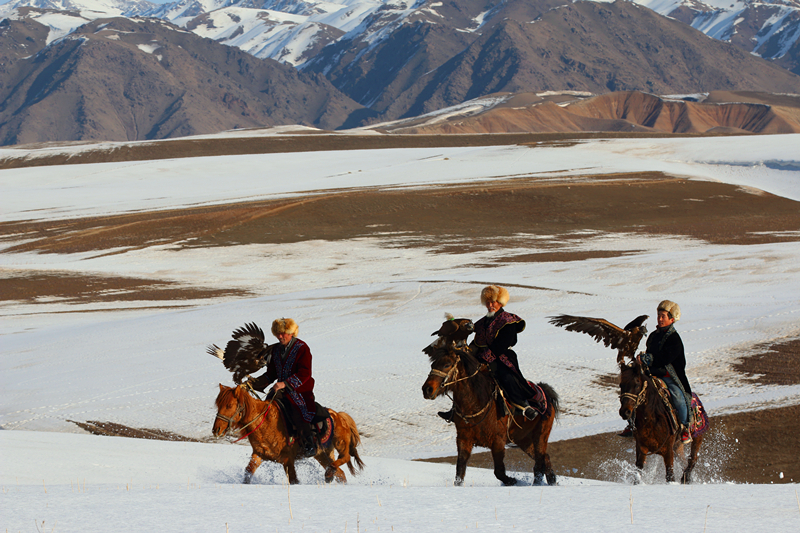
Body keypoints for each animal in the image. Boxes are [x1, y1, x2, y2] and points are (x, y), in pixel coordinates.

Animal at [211, 384, 364, 484]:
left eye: (229, 405)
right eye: (218, 405)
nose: (216, 430)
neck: (266, 422)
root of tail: (339, 415)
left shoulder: (288, 460)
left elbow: (294, 480)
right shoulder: (259, 455)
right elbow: (248, 473)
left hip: (340, 443)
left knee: (344, 458)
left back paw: (329, 473)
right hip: (321, 453)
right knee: (340, 473)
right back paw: (330, 474)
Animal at [422, 342, 560, 484]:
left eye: (447, 364)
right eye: (432, 365)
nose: (427, 389)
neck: (476, 404)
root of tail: (546, 392)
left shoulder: (498, 441)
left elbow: (499, 472)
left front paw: (512, 481)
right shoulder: (464, 440)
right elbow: (459, 473)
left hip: (540, 435)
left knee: (540, 461)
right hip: (524, 440)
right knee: (545, 460)